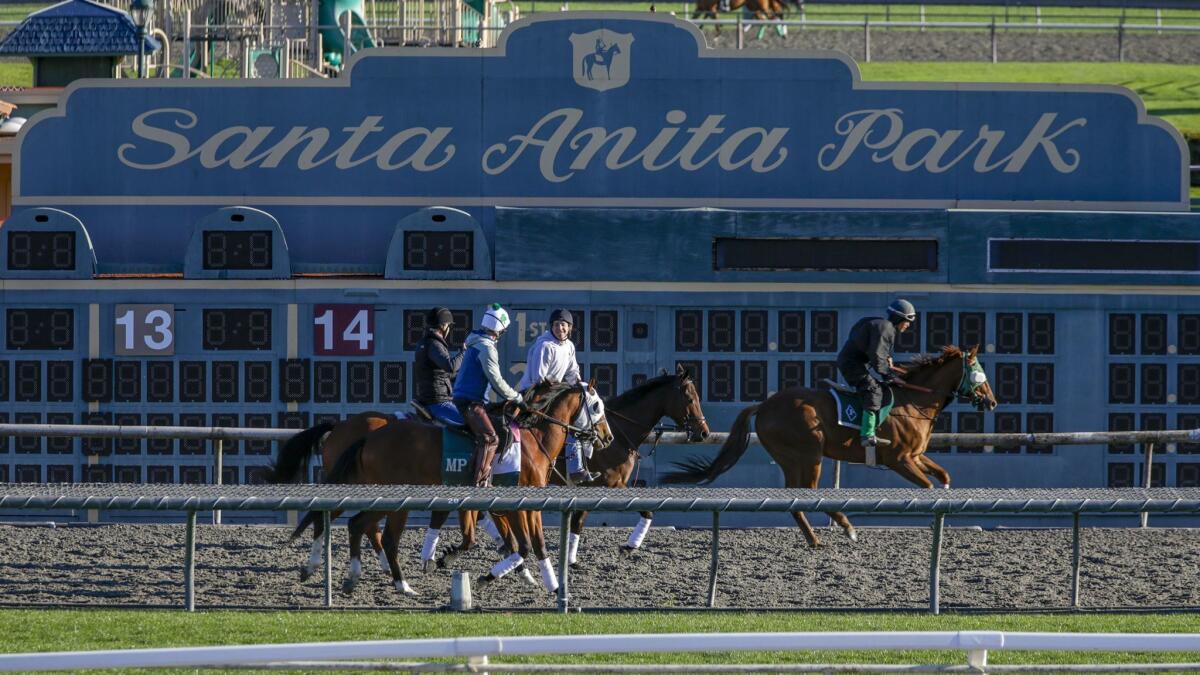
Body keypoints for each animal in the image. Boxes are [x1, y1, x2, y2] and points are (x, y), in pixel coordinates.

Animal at [326, 381, 609, 590]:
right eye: (596, 405)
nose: (607, 437)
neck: (532, 440)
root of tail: (368, 437)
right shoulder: (512, 507)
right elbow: (521, 546)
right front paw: (486, 575)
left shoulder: (528, 506)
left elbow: (534, 544)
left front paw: (550, 584)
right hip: (391, 499)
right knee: (377, 533)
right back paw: (396, 582)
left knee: (359, 524)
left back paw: (358, 576)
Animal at [662, 345, 998, 547]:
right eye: (978, 372)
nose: (992, 401)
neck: (914, 400)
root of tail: (765, 405)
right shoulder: (900, 459)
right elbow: (928, 487)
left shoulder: (916, 455)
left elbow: (943, 477)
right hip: (809, 454)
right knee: (809, 493)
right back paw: (845, 527)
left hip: (792, 458)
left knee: (794, 496)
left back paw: (814, 538)